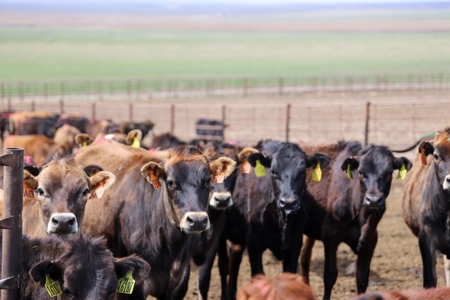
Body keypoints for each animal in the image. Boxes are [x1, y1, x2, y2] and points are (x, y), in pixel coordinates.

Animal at [298, 141, 412, 300]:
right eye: (361, 172)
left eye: (389, 172)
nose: (373, 200)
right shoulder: (330, 236)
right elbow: (330, 275)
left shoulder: (370, 242)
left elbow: (362, 278)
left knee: (305, 257)